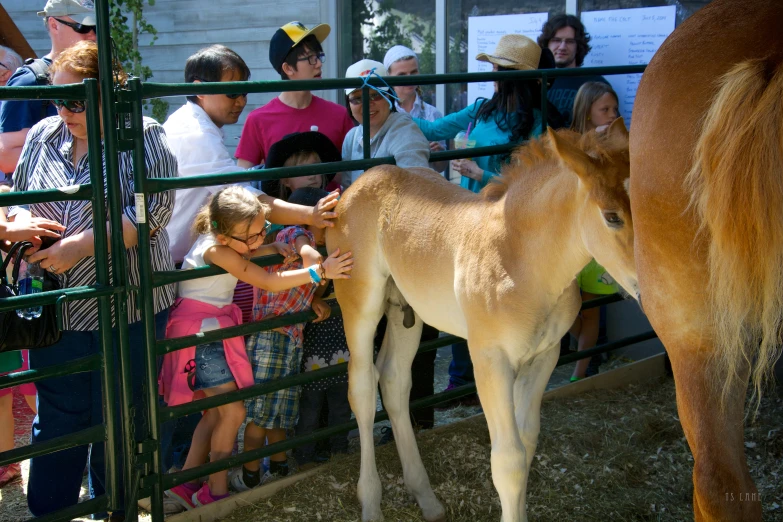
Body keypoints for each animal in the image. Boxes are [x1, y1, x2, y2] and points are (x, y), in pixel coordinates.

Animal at [328, 119, 640, 520]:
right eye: (612, 216)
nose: (652, 284)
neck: (521, 259)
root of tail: (355, 186)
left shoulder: (545, 355)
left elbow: (527, 440)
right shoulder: (490, 360)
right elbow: (508, 461)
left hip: (404, 312)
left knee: (395, 381)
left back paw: (426, 498)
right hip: (361, 307)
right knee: (363, 389)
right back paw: (371, 503)